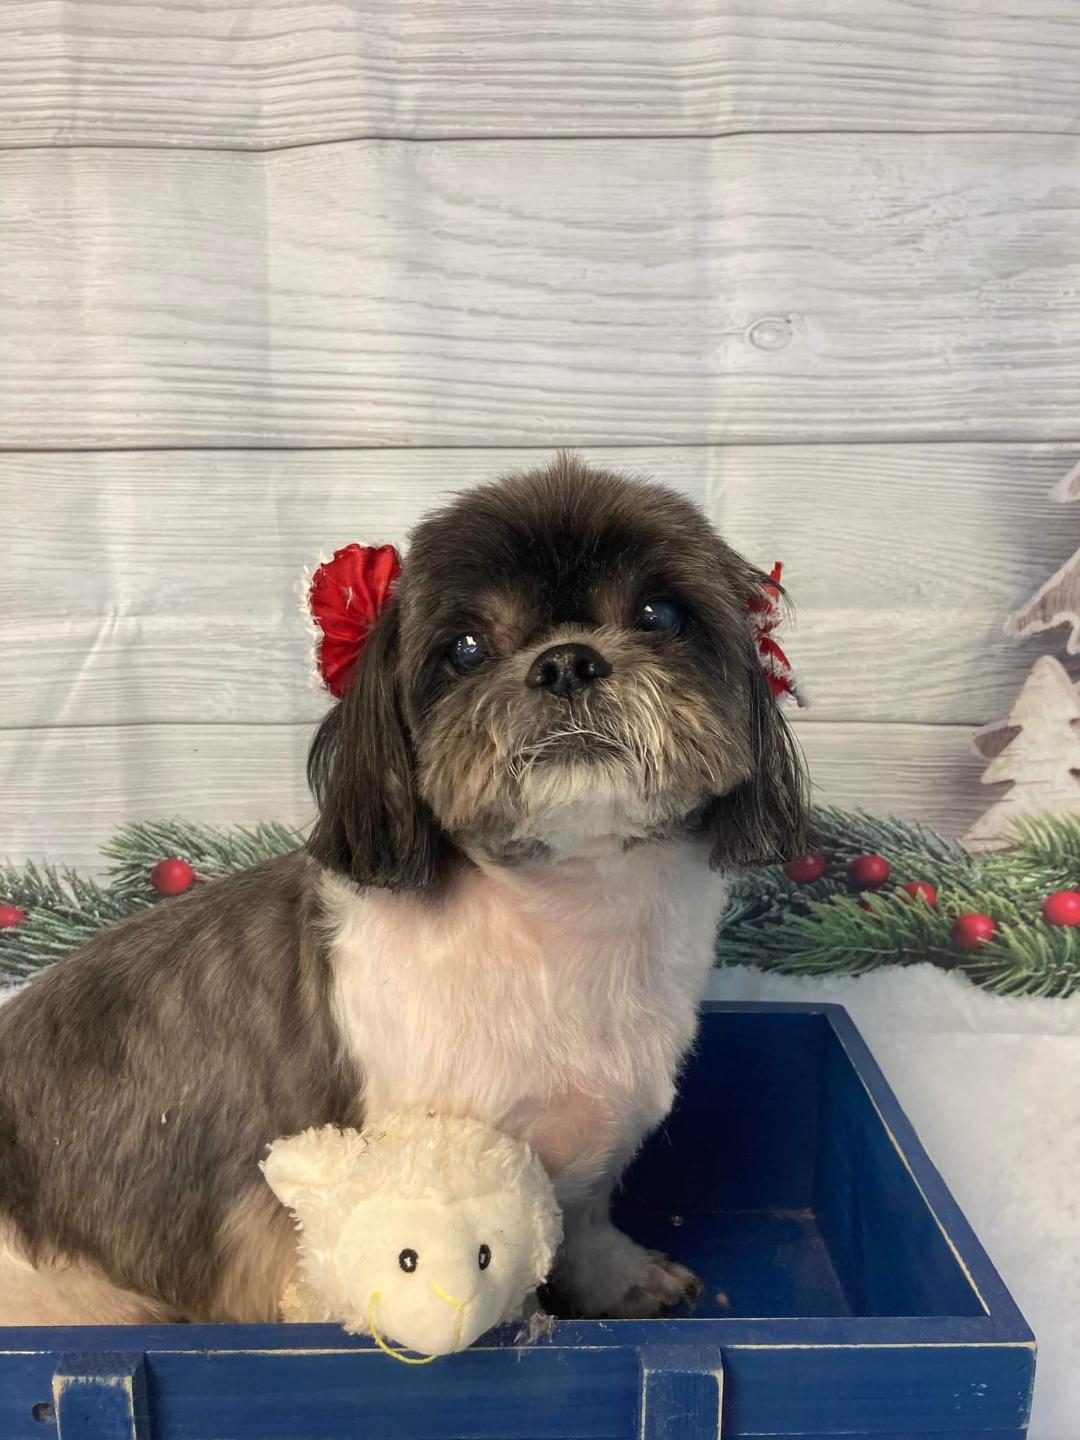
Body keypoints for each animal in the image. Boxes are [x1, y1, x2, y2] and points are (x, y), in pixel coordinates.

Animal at [0, 457, 806, 1324]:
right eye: (466, 647)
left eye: (660, 613)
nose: (565, 661)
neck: (564, 910)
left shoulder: (595, 1134)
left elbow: (585, 1219)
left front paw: (616, 1277)